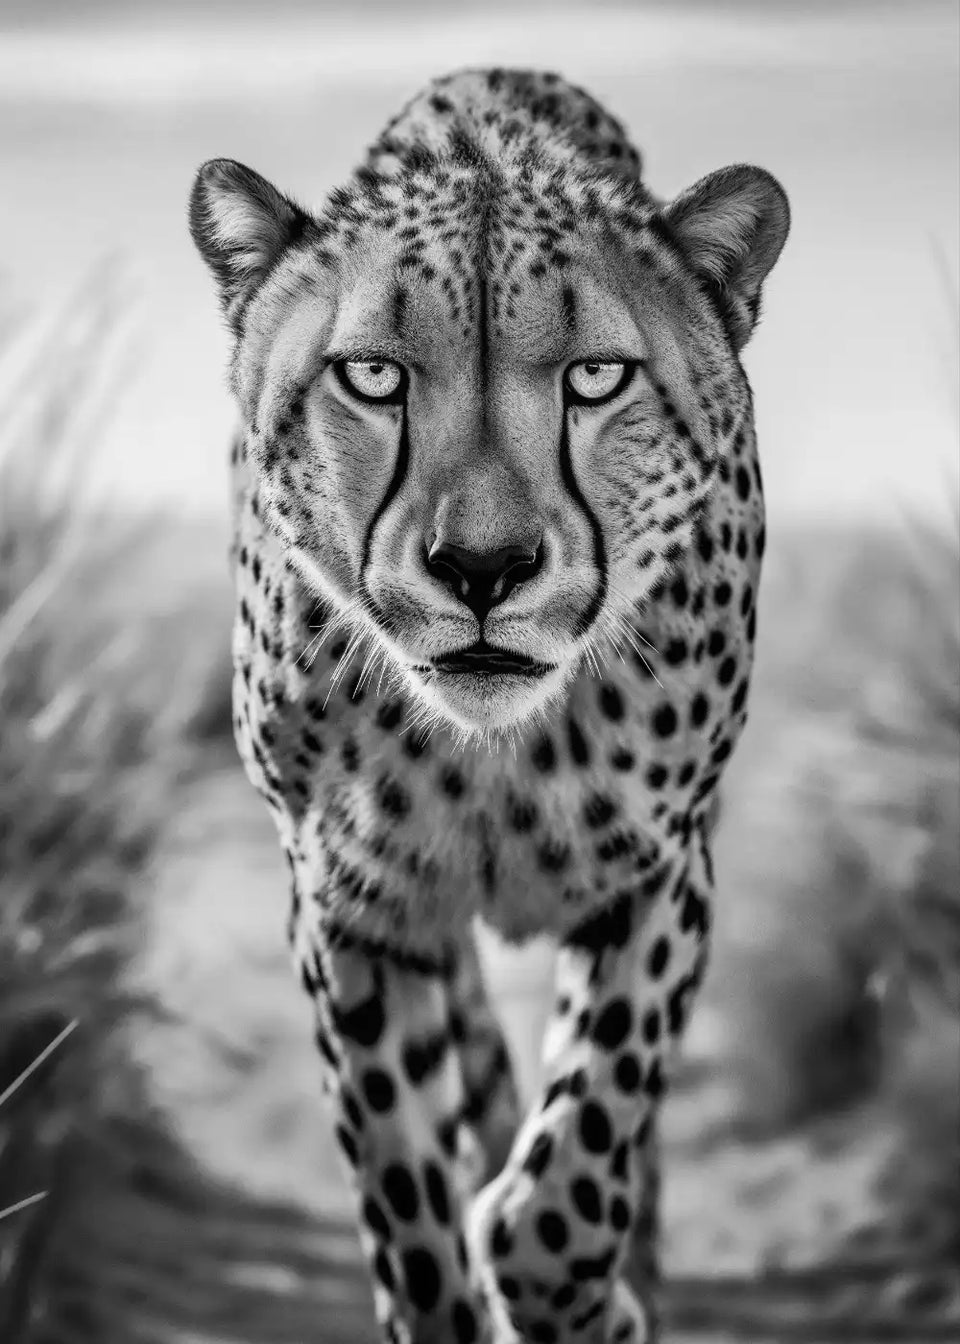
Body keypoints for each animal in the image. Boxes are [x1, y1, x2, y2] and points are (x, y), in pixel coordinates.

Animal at [189, 67, 789, 1344]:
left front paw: (588, 1294)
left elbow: (584, 1146)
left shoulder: (662, 872)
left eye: (596, 377)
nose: (482, 566)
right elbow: (408, 1203)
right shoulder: (353, 910)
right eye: (372, 376)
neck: (489, 750)